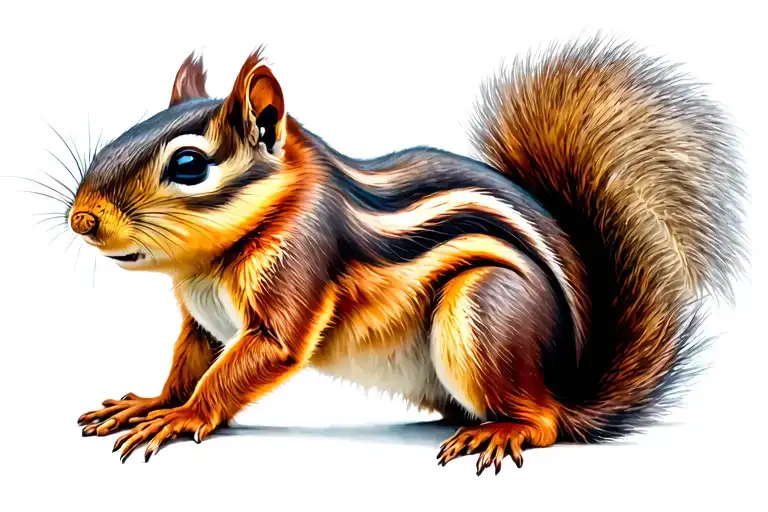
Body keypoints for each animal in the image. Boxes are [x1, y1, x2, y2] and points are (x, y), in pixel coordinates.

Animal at [70, 35, 748, 474]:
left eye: (188, 165)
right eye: (121, 134)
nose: (82, 220)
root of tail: (569, 381)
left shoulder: (301, 260)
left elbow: (259, 355)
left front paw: (183, 418)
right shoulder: (204, 323)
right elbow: (190, 360)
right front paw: (153, 403)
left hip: (484, 311)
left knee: (546, 423)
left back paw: (502, 430)